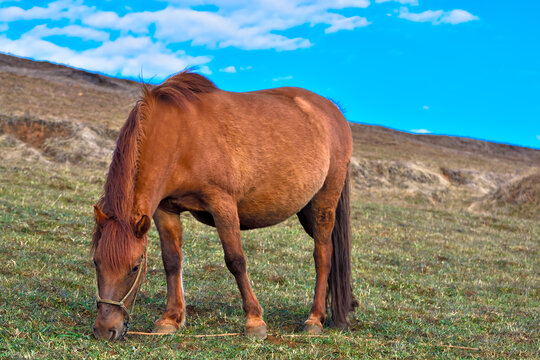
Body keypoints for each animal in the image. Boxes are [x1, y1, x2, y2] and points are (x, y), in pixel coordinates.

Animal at [90, 69, 356, 340]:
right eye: (96, 262)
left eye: (135, 267)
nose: (105, 330)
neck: (180, 138)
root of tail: (332, 111)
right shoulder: (165, 209)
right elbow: (171, 260)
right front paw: (171, 319)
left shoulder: (222, 204)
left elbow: (236, 260)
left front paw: (254, 321)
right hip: (306, 210)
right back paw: (342, 310)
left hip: (324, 202)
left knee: (323, 255)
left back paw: (315, 319)